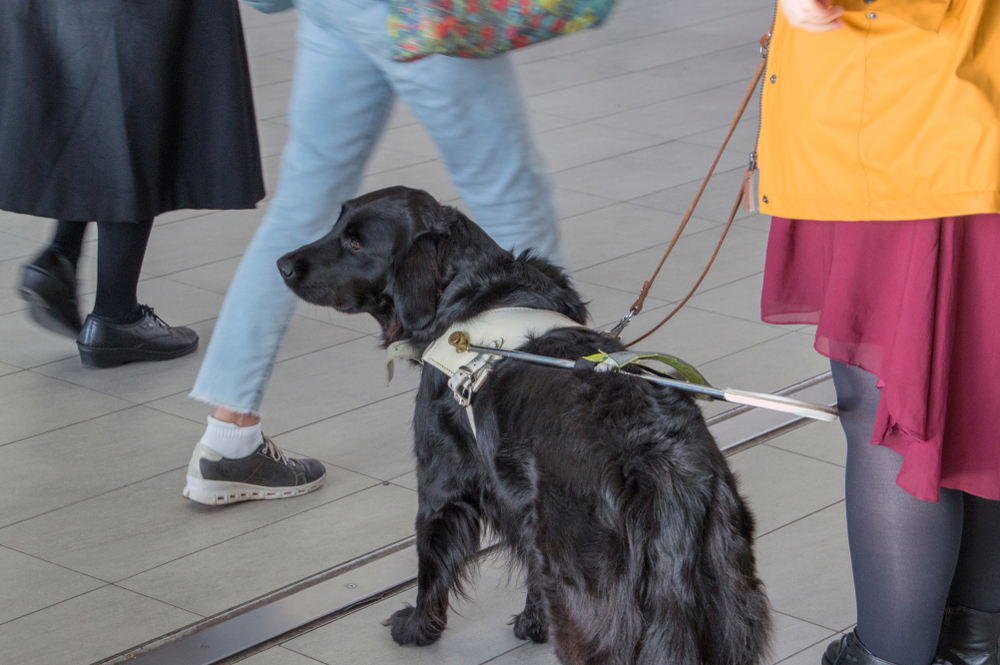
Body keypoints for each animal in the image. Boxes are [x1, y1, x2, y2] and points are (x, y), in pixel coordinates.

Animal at [280, 185, 772, 664]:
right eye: (337, 224)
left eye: (356, 243)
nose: (282, 264)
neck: (469, 296)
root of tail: (662, 467)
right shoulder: (523, 507)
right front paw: (533, 623)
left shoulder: (442, 481)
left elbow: (431, 561)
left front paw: (418, 628)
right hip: (727, 608)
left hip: (592, 605)